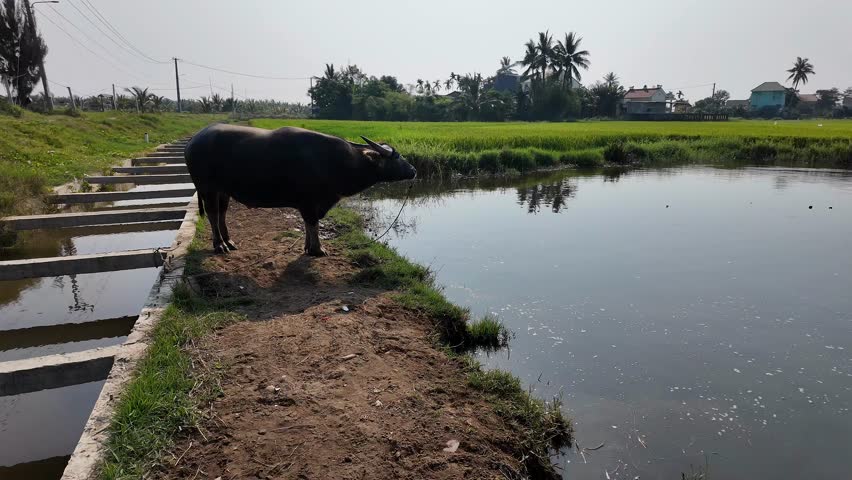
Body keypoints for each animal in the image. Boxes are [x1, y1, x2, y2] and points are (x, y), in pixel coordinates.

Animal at [185, 124, 416, 256]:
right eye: (396, 157)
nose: (414, 170)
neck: (340, 161)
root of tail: (193, 141)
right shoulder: (310, 202)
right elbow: (313, 224)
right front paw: (318, 249)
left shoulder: (311, 204)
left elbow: (308, 224)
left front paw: (307, 247)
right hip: (207, 188)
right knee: (213, 213)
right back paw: (219, 245)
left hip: (223, 190)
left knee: (222, 213)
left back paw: (229, 241)